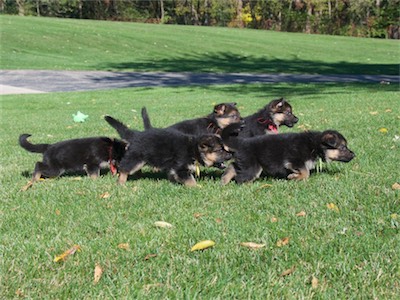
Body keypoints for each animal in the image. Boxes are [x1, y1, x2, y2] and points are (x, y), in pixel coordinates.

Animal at [104, 115, 233, 185]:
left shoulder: (174, 168)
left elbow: (173, 175)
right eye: (220, 150)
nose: (231, 154)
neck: (194, 149)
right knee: (124, 169)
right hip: (136, 159)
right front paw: (197, 188)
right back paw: (121, 183)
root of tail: (135, 135)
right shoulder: (181, 168)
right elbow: (191, 181)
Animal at [220, 122, 354, 184]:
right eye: (343, 147)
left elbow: (306, 171)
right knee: (240, 178)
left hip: (245, 163)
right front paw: (293, 177)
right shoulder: (294, 161)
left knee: (232, 166)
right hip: (253, 167)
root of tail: (241, 142)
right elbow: (305, 172)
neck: (313, 144)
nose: (354, 155)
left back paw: (224, 180)